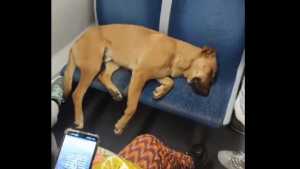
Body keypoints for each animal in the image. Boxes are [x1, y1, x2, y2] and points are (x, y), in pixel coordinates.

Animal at [63, 24, 218, 135]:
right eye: (211, 73)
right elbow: (132, 107)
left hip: (115, 62)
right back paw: (79, 119)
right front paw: (122, 124)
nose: (206, 94)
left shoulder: (159, 74)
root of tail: (74, 44)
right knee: (77, 94)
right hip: (92, 66)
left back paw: (114, 92)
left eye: (213, 78)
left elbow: (171, 82)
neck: (177, 53)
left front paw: (160, 92)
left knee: (103, 75)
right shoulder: (140, 74)